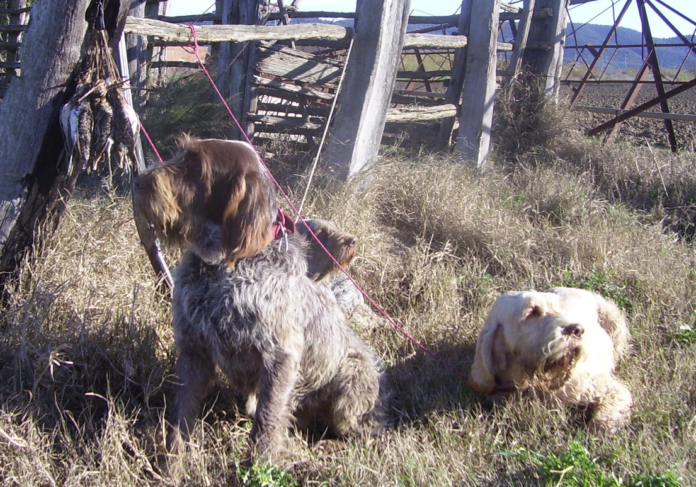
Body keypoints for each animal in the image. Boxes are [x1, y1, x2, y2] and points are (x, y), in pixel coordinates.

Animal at [169, 227, 386, 464]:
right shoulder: (193, 349)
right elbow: (182, 414)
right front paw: (173, 461)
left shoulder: (280, 355)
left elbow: (266, 422)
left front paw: (258, 463)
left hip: (353, 373)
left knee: (362, 435)